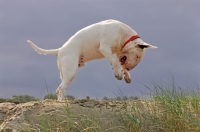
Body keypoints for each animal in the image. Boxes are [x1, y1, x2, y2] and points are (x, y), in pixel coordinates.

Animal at [27, 19, 157, 100]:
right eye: (137, 56)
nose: (130, 68)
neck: (123, 34)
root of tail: (59, 50)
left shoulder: (115, 54)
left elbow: (118, 63)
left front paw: (126, 75)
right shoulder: (105, 48)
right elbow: (115, 62)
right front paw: (119, 74)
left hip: (67, 74)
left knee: (60, 89)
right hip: (71, 70)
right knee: (61, 89)